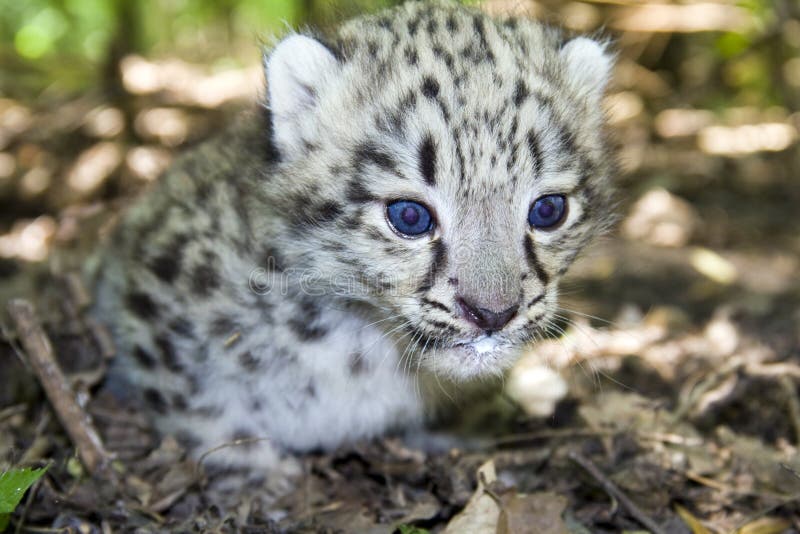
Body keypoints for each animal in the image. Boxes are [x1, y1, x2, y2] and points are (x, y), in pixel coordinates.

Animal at [90, 0, 615, 474]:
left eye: (548, 210)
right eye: (409, 216)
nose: (493, 313)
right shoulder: (156, 297)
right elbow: (196, 407)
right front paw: (259, 470)